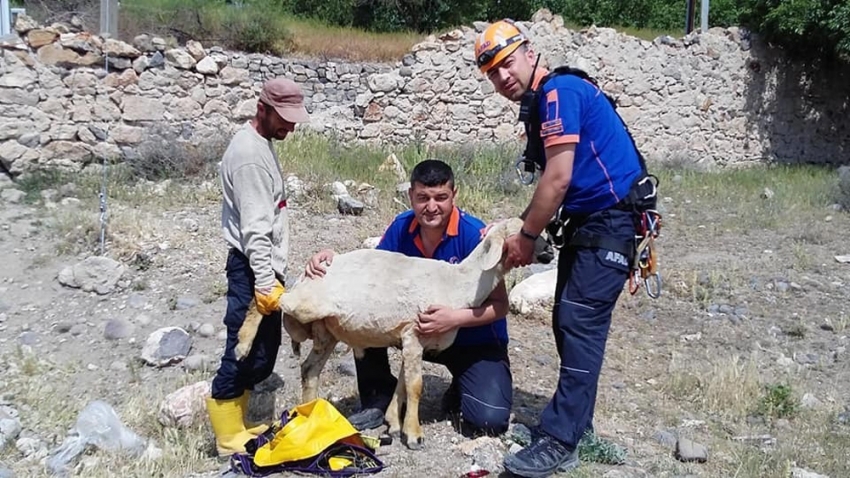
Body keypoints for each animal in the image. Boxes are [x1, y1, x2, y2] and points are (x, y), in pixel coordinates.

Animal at [235, 218, 548, 450]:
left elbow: (402, 384)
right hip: (307, 304)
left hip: (326, 330)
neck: (460, 283)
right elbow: (415, 386)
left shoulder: (409, 339)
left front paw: (395, 424)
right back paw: (243, 344)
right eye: (525, 233)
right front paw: (414, 435)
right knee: (272, 299)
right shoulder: (414, 334)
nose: (550, 251)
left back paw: (310, 412)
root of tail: (304, 276)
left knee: (309, 368)